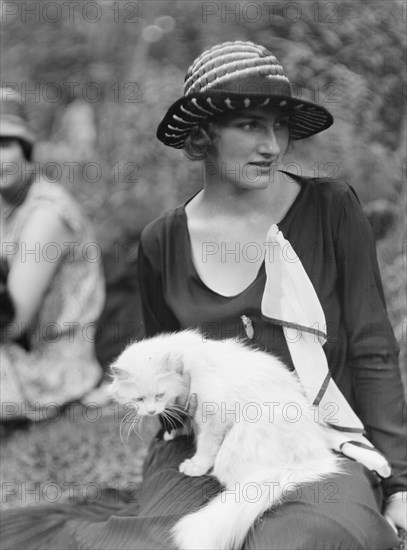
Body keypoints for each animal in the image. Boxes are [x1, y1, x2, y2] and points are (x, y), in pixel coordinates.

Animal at [110, 332, 342, 550]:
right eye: (138, 399)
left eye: (159, 395)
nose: (151, 411)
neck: (185, 358)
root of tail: (314, 458)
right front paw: (175, 432)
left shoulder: (212, 417)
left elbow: (205, 446)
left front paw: (196, 466)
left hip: (233, 450)